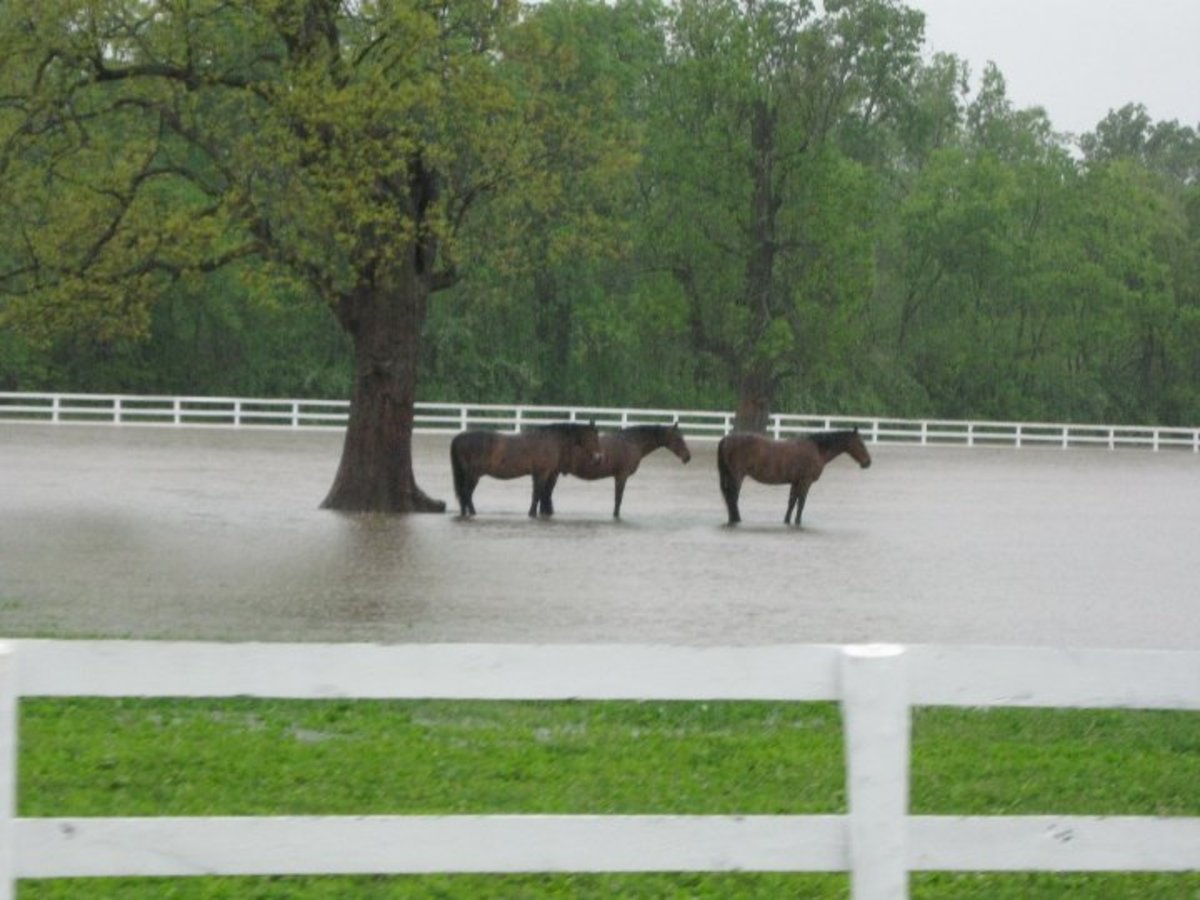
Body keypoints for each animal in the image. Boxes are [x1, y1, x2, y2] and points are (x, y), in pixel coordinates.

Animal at [450, 421, 601, 518]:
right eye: (593, 437)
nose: (599, 457)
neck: (550, 440)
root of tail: (459, 438)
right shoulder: (541, 474)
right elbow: (537, 494)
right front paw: (532, 513)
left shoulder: (545, 474)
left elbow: (542, 494)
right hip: (473, 475)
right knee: (466, 494)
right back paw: (473, 513)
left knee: (464, 495)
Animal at [717, 429, 871, 527]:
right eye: (860, 444)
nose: (868, 462)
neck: (817, 449)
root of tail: (726, 439)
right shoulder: (805, 482)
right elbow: (801, 503)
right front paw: (798, 522)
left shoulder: (796, 482)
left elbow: (791, 502)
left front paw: (787, 521)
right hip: (737, 476)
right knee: (732, 498)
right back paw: (736, 519)